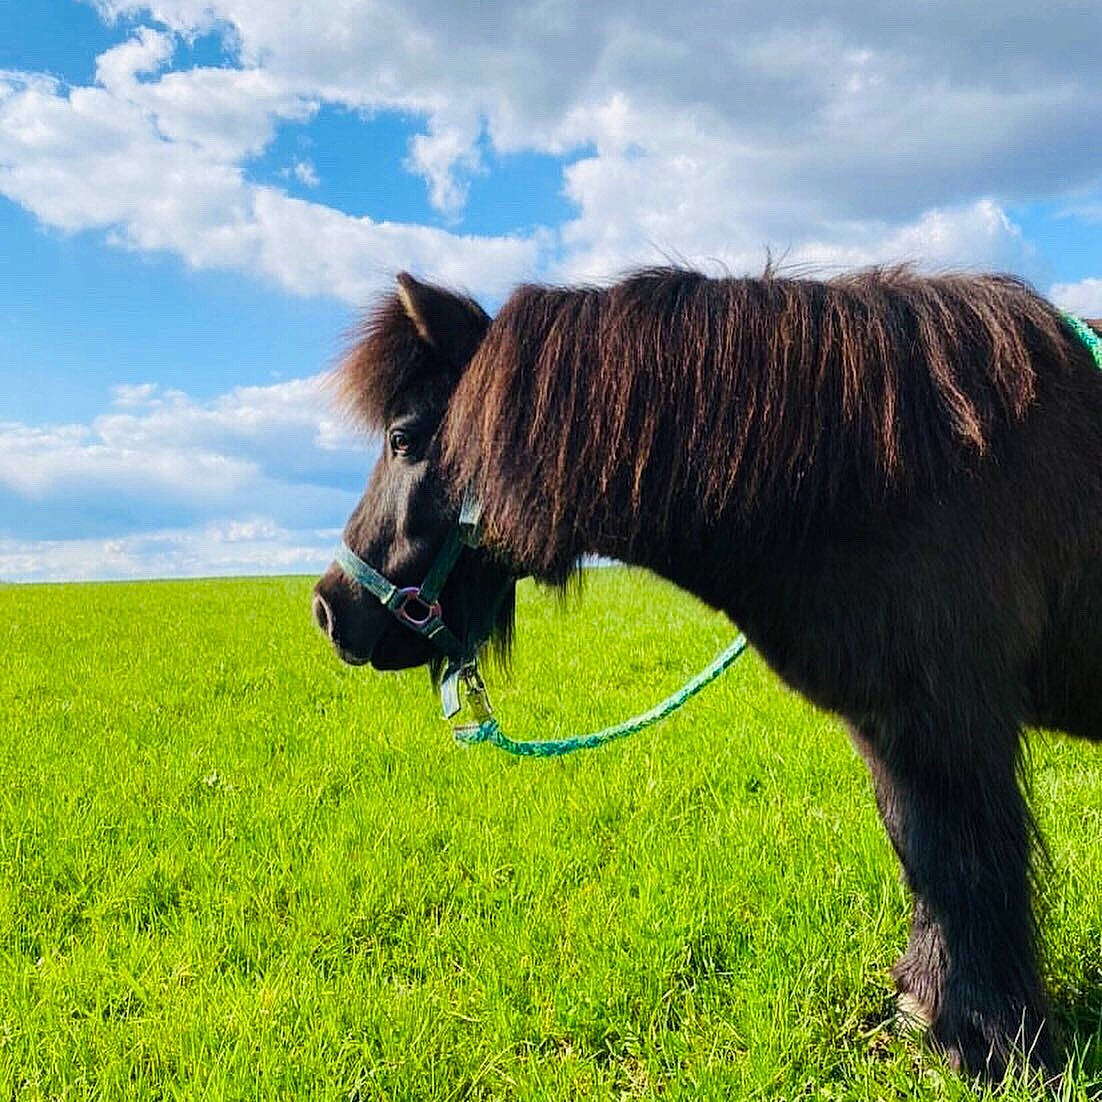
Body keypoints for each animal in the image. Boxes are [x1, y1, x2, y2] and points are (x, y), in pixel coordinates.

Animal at [313, 265, 1102, 1081]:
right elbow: (923, 857)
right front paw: (929, 1009)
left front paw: (989, 1044)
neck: (901, 462)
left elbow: (965, 865)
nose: (329, 610)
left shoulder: (949, 723)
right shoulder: (893, 728)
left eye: (403, 439)